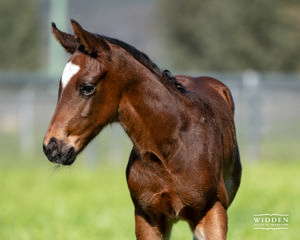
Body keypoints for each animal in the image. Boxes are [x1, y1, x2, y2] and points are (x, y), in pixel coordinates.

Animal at [42, 20, 241, 238]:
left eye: (87, 87)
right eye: (60, 85)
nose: (52, 146)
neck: (171, 150)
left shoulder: (214, 210)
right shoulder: (147, 216)